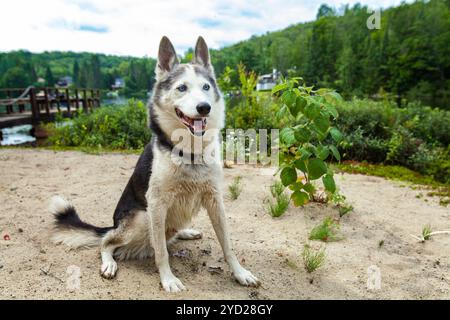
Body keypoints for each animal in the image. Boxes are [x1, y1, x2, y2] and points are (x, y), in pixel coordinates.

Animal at [49, 36, 258, 292]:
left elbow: (227, 245)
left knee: (166, 235)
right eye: (182, 88)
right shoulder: (157, 204)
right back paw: (109, 263)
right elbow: (161, 252)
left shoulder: (215, 200)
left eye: (206, 87)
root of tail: (113, 224)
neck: (190, 152)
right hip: (141, 219)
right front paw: (168, 279)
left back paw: (186, 232)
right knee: (107, 243)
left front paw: (240, 273)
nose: (204, 107)